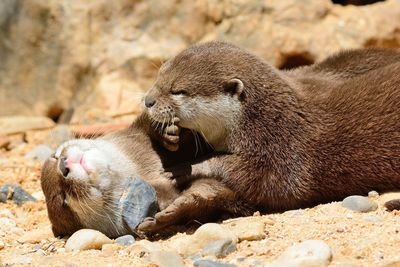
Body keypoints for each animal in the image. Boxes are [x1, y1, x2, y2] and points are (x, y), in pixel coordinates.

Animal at [41, 114, 253, 238]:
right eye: (64, 200)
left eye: (54, 156)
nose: (63, 165)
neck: (141, 169)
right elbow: (215, 195)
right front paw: (174, 212)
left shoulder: (135, 136)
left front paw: (163, 131)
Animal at [143, 41, 400, 230]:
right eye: (159, 75)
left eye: (178, 91)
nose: (148, 100)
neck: (265, 119)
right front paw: (167, 136)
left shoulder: (286, 151)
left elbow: (259, 180)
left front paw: (186, 169)